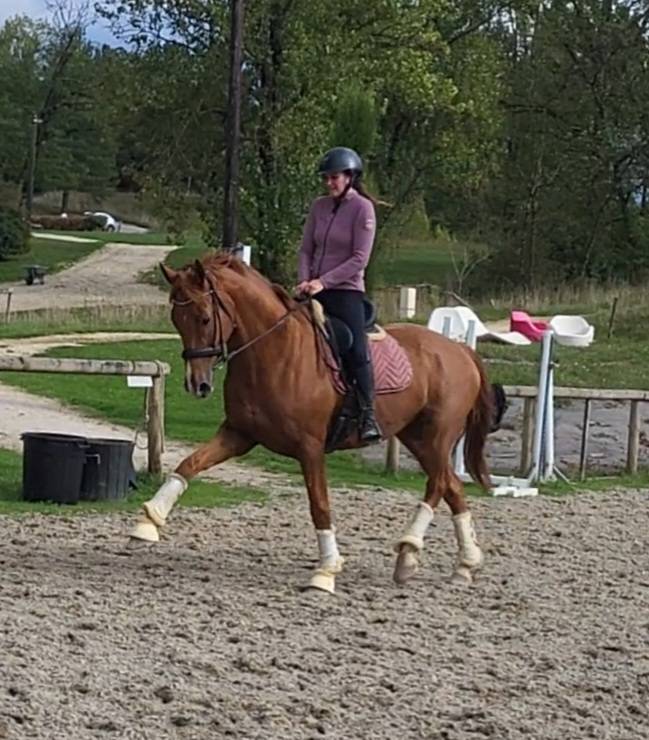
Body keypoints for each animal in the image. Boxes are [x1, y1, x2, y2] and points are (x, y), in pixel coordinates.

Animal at [129, 252, 500, 594]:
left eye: (205, 318)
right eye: (176, 319)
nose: (198, 385)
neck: (272, 352)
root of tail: (460, 350)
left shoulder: (310, 447)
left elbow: (319, 505)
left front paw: (325, 572)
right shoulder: (238, 434)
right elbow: (188, 465)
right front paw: (147, 523)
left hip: (436, 436)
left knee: (439, 483)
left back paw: (412, 550)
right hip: (416, 436)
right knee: (451, 486)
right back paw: (458, 564)